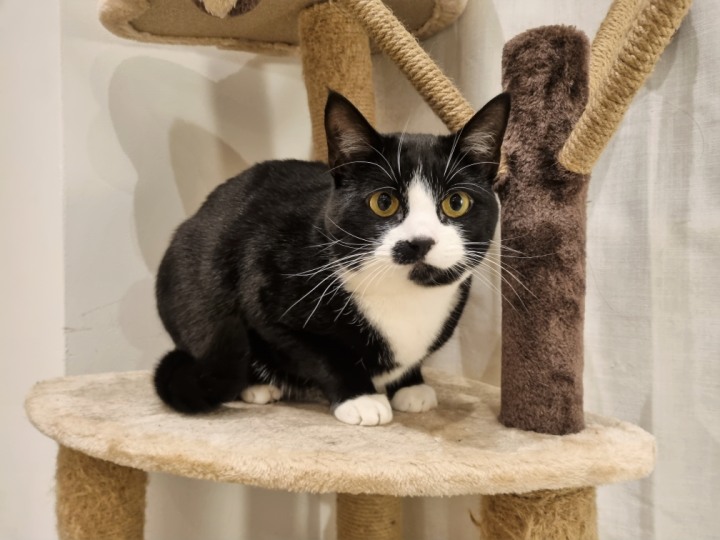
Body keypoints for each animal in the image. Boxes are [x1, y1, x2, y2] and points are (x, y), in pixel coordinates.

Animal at [153, 91, 510, 426]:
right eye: (383, 202)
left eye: (456, 202)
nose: (419, 242)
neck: (404, 295)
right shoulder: (267, 298)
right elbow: (324, 355)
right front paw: (360, 398)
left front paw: (411, 386)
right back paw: (258, 386)